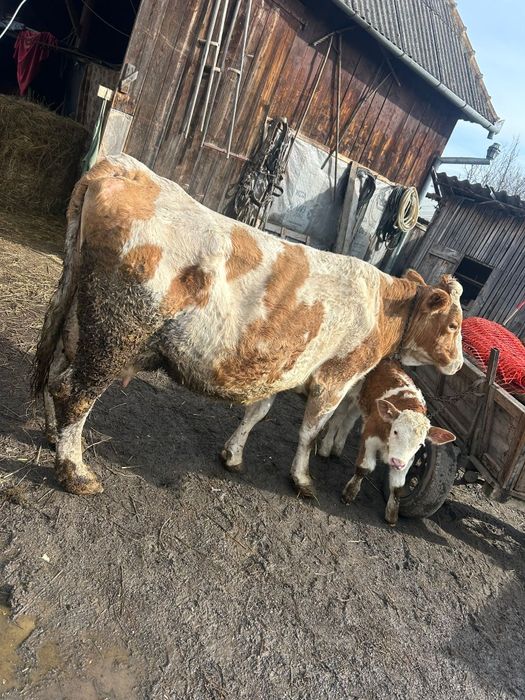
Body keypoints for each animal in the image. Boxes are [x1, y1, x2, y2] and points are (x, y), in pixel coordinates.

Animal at [32, 155, 463, 497]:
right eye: (455, 324)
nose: (459, 364)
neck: (382, 302)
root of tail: (131, 169)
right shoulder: (335, 378)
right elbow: (310, 433)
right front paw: (302, 480)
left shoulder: (280, 365)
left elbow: (258, 412)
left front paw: (233, 454)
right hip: (116, 330)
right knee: (76, 391)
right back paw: (76, 473)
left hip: (78, 317)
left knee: (54, 372)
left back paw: (52, 436)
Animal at [330, 359, 456, 525]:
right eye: (396, 431)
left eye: (420, 444)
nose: (396, 462)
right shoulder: (370, 437)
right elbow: (364, 468)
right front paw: (349, 494)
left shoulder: (408, 460)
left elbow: (397, 486)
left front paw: (392, 515)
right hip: (349, 393)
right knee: (339, 415)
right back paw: (326, 446)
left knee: (348, 421)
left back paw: (337, 447)